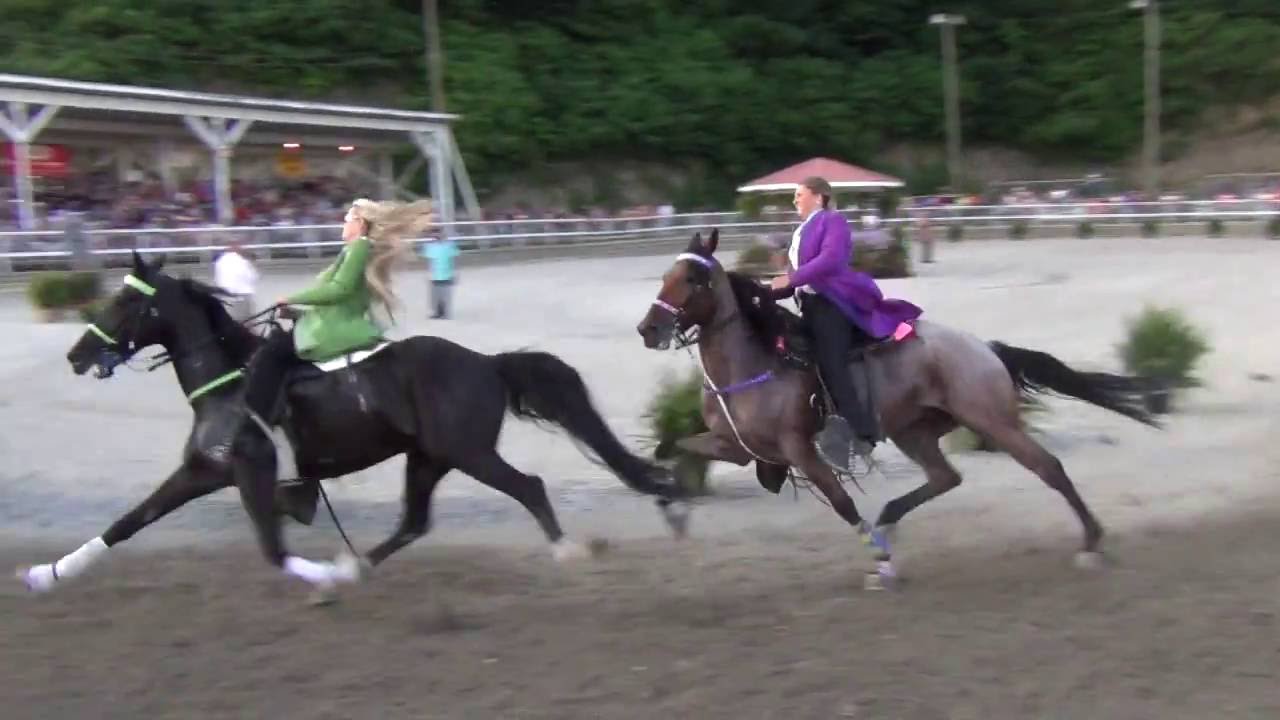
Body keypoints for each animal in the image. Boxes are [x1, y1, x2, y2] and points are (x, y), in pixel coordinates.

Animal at [17, 252, 691, 599]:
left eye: (127, 301)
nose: (77, 354)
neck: (228, 383)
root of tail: (486, 362)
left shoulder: (247, 474)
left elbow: (272, 548)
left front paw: (318, 574)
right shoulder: (201, 471)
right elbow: (128, 522)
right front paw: (47, 574)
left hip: (466, 452)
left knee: (529, 488)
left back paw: (565, 550)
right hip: (427, 458)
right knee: (414, 522)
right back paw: (356, 566)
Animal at [634, 229, 1157, 584]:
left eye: (694, 277)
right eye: (665, 274)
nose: (648, 329)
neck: (754, 359)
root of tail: (984, 348)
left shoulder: (799, 448)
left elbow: (842, 503)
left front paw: (879, 559)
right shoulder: (736, 447)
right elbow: (674, 449)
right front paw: (671, 505)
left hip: (992, 421)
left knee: (1049, 467)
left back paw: (1091, 543)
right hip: (915, 431)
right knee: (946, 477)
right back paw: (889, 517)